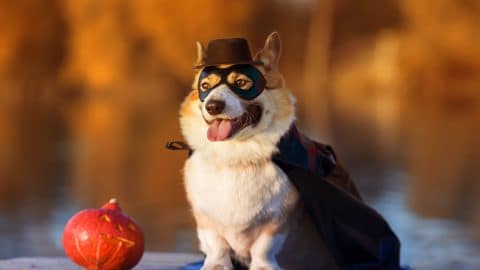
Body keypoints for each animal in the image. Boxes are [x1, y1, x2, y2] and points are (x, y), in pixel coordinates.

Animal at [179, 32, 338, 268]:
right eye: (205, 86)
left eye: (241, 82)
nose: (213, 106)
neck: (235, 155)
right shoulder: (206, 220)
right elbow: (216, 246)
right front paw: (216, 265)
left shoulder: (279, 221)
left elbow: (264, 248)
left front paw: (263, 266)